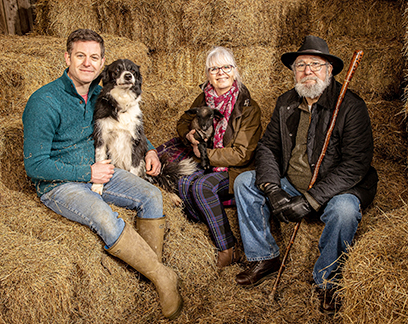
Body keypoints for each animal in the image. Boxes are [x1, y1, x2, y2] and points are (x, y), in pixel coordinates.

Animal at [91, 59, 197, 196]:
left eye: (132, 70)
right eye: (117, 70)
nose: (128, 76)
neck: (122, 104)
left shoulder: (137, 140)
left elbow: (134, 169)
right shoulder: (101, 138)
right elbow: (100, 162)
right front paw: (97, 186)